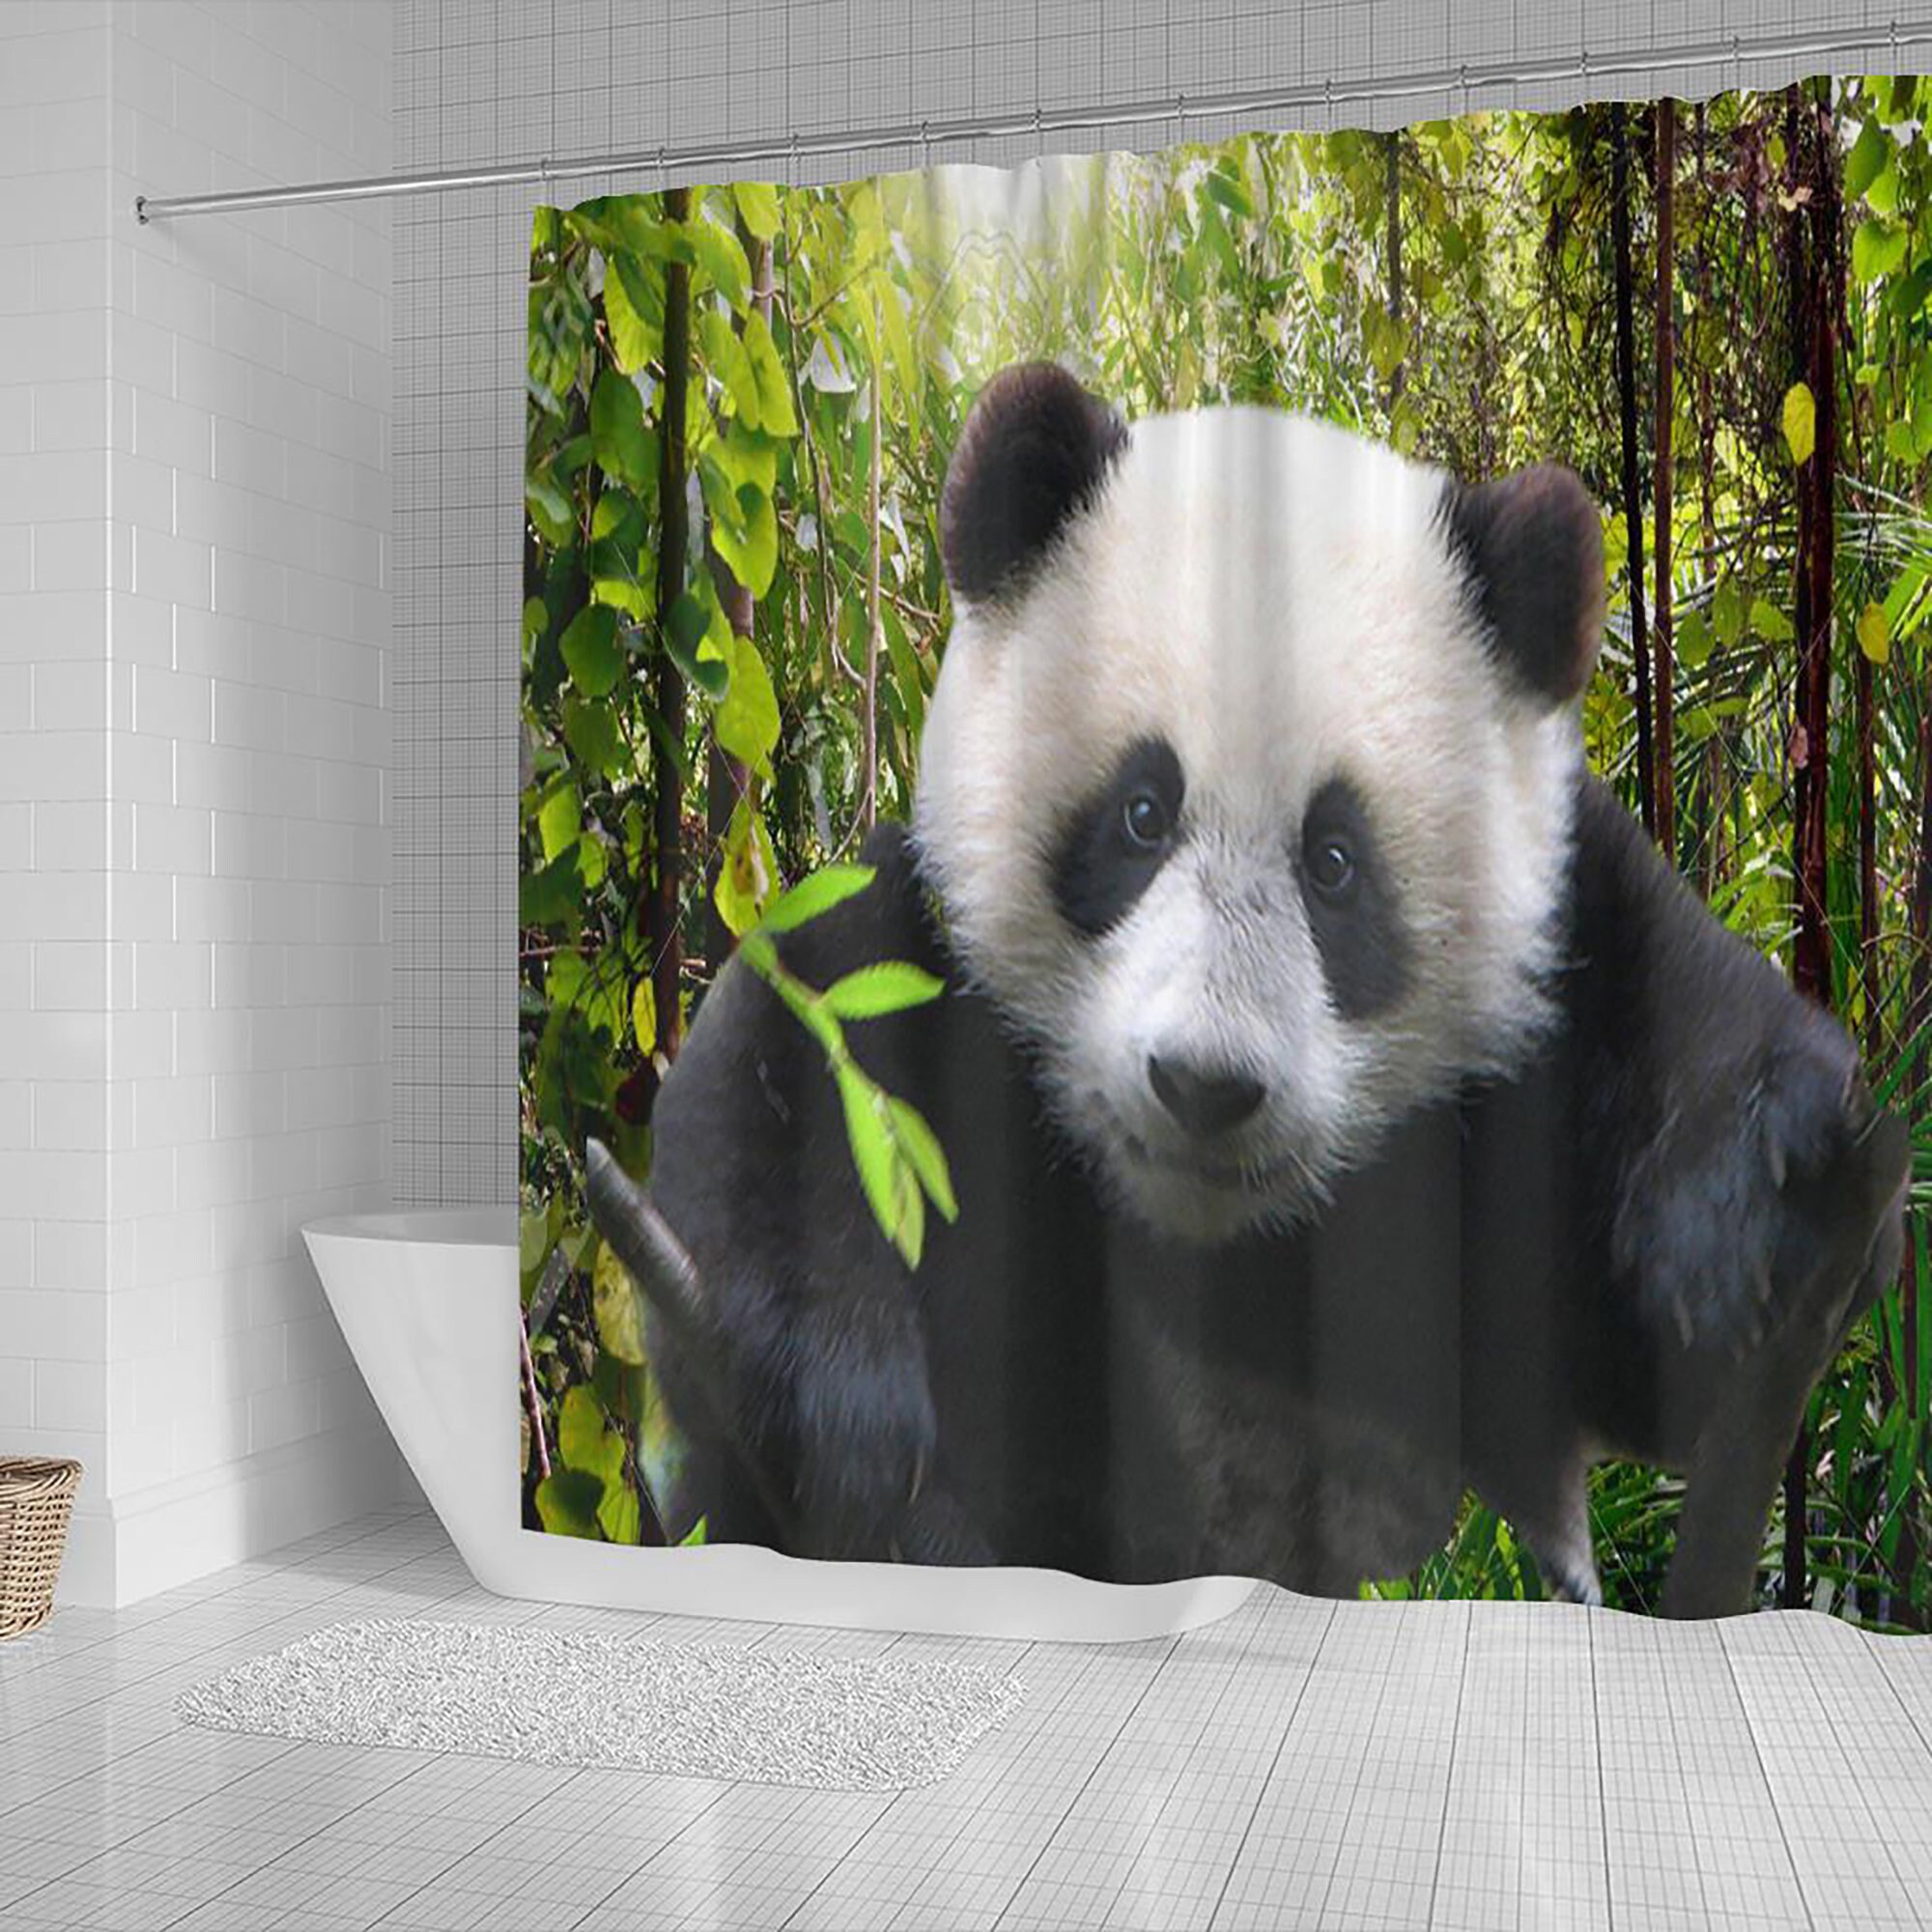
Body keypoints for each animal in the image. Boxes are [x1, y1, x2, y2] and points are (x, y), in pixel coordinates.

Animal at [587, 362, 1909, 1617]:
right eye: (1139, 811)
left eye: (1334, 862)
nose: (1201, 1084)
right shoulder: (932, 953)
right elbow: (787, 1074)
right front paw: (850, 1407)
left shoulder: (1555, 990)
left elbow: (1675, 1229)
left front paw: (1755, 1203)